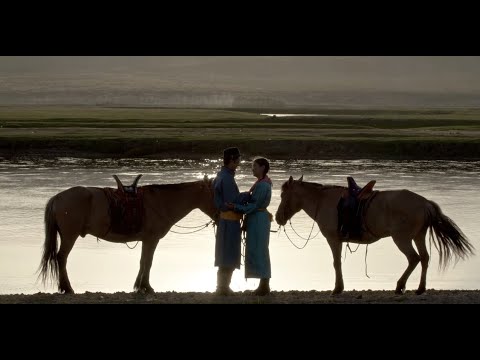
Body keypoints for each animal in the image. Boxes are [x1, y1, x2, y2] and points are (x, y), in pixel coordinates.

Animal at [38, 175, 218, 296]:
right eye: (217, 192)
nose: (219, 216)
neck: (161, 202)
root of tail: (57, 198)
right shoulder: (152, 239)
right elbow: (148, 262)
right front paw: (147, 287)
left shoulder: (146, 240)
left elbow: (143, 262)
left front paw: (139, 286)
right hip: (70, 236)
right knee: (61, 258)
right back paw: (67, 288)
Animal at [276, 174, 474, 296]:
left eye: (283, 195)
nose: (278, 218)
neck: (323, 201)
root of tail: (424, 203)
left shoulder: (333, 239)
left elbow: (336, 263)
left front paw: (337, 289)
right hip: (418, 236)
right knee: (424, 258)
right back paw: (419, 288)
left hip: (402, 238)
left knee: (414, 258)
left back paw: (400, 286)